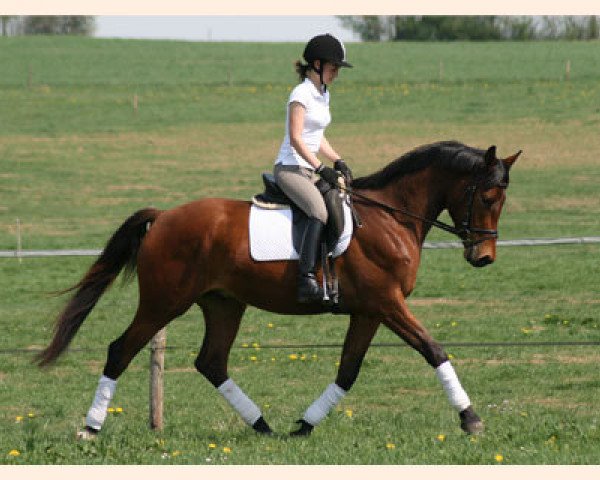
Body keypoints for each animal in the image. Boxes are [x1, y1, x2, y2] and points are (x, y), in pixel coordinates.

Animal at [36, 140, 520, 438]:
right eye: (488, 197)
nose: (483, 257)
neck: (391, 217)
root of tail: (165, 216)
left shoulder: (369, 310)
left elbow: (348, 370)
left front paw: (304, 425)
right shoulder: (388, 303)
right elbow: (433, 350)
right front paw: (471, 419)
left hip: (223, 304)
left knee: (211, 362)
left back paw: (263, 426)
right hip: (164, 302)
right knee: (121, 350)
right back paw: (90, 428)